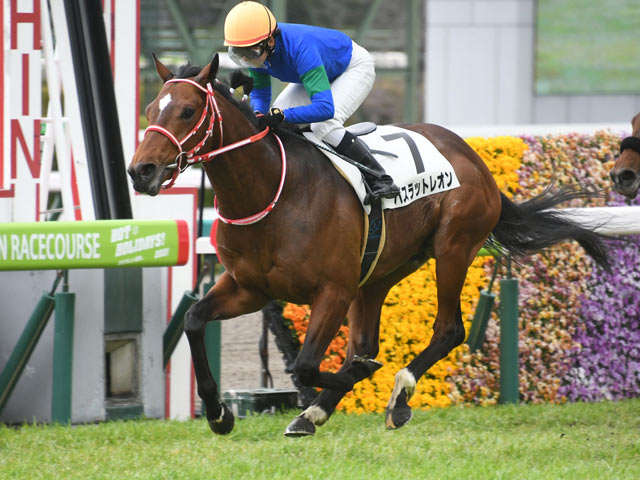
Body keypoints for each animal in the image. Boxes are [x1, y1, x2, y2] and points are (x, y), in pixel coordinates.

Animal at [128, 54, 610, 437]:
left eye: (188, 110)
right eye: (150, 108)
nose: (141, 171)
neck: (272, 192)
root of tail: (473, 157)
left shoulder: (333, 290)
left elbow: (306, 364)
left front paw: (351, 381)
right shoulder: (250, 287)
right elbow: (193, 320)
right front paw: (218, 414)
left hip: (454, 246)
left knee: (448, 330)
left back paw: (396, 395)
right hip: (381, 271)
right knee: (368, 341)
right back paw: (315, 413)